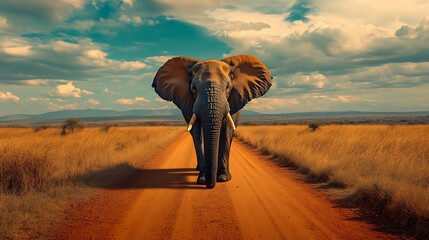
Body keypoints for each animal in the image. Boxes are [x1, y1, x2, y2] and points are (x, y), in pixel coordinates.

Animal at [151, 54, 270, 188]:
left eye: (228, 87)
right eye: (193, 88)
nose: (210, 185)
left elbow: (227, 131)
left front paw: (223, 178)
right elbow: (197, 132)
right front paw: (202, 179)